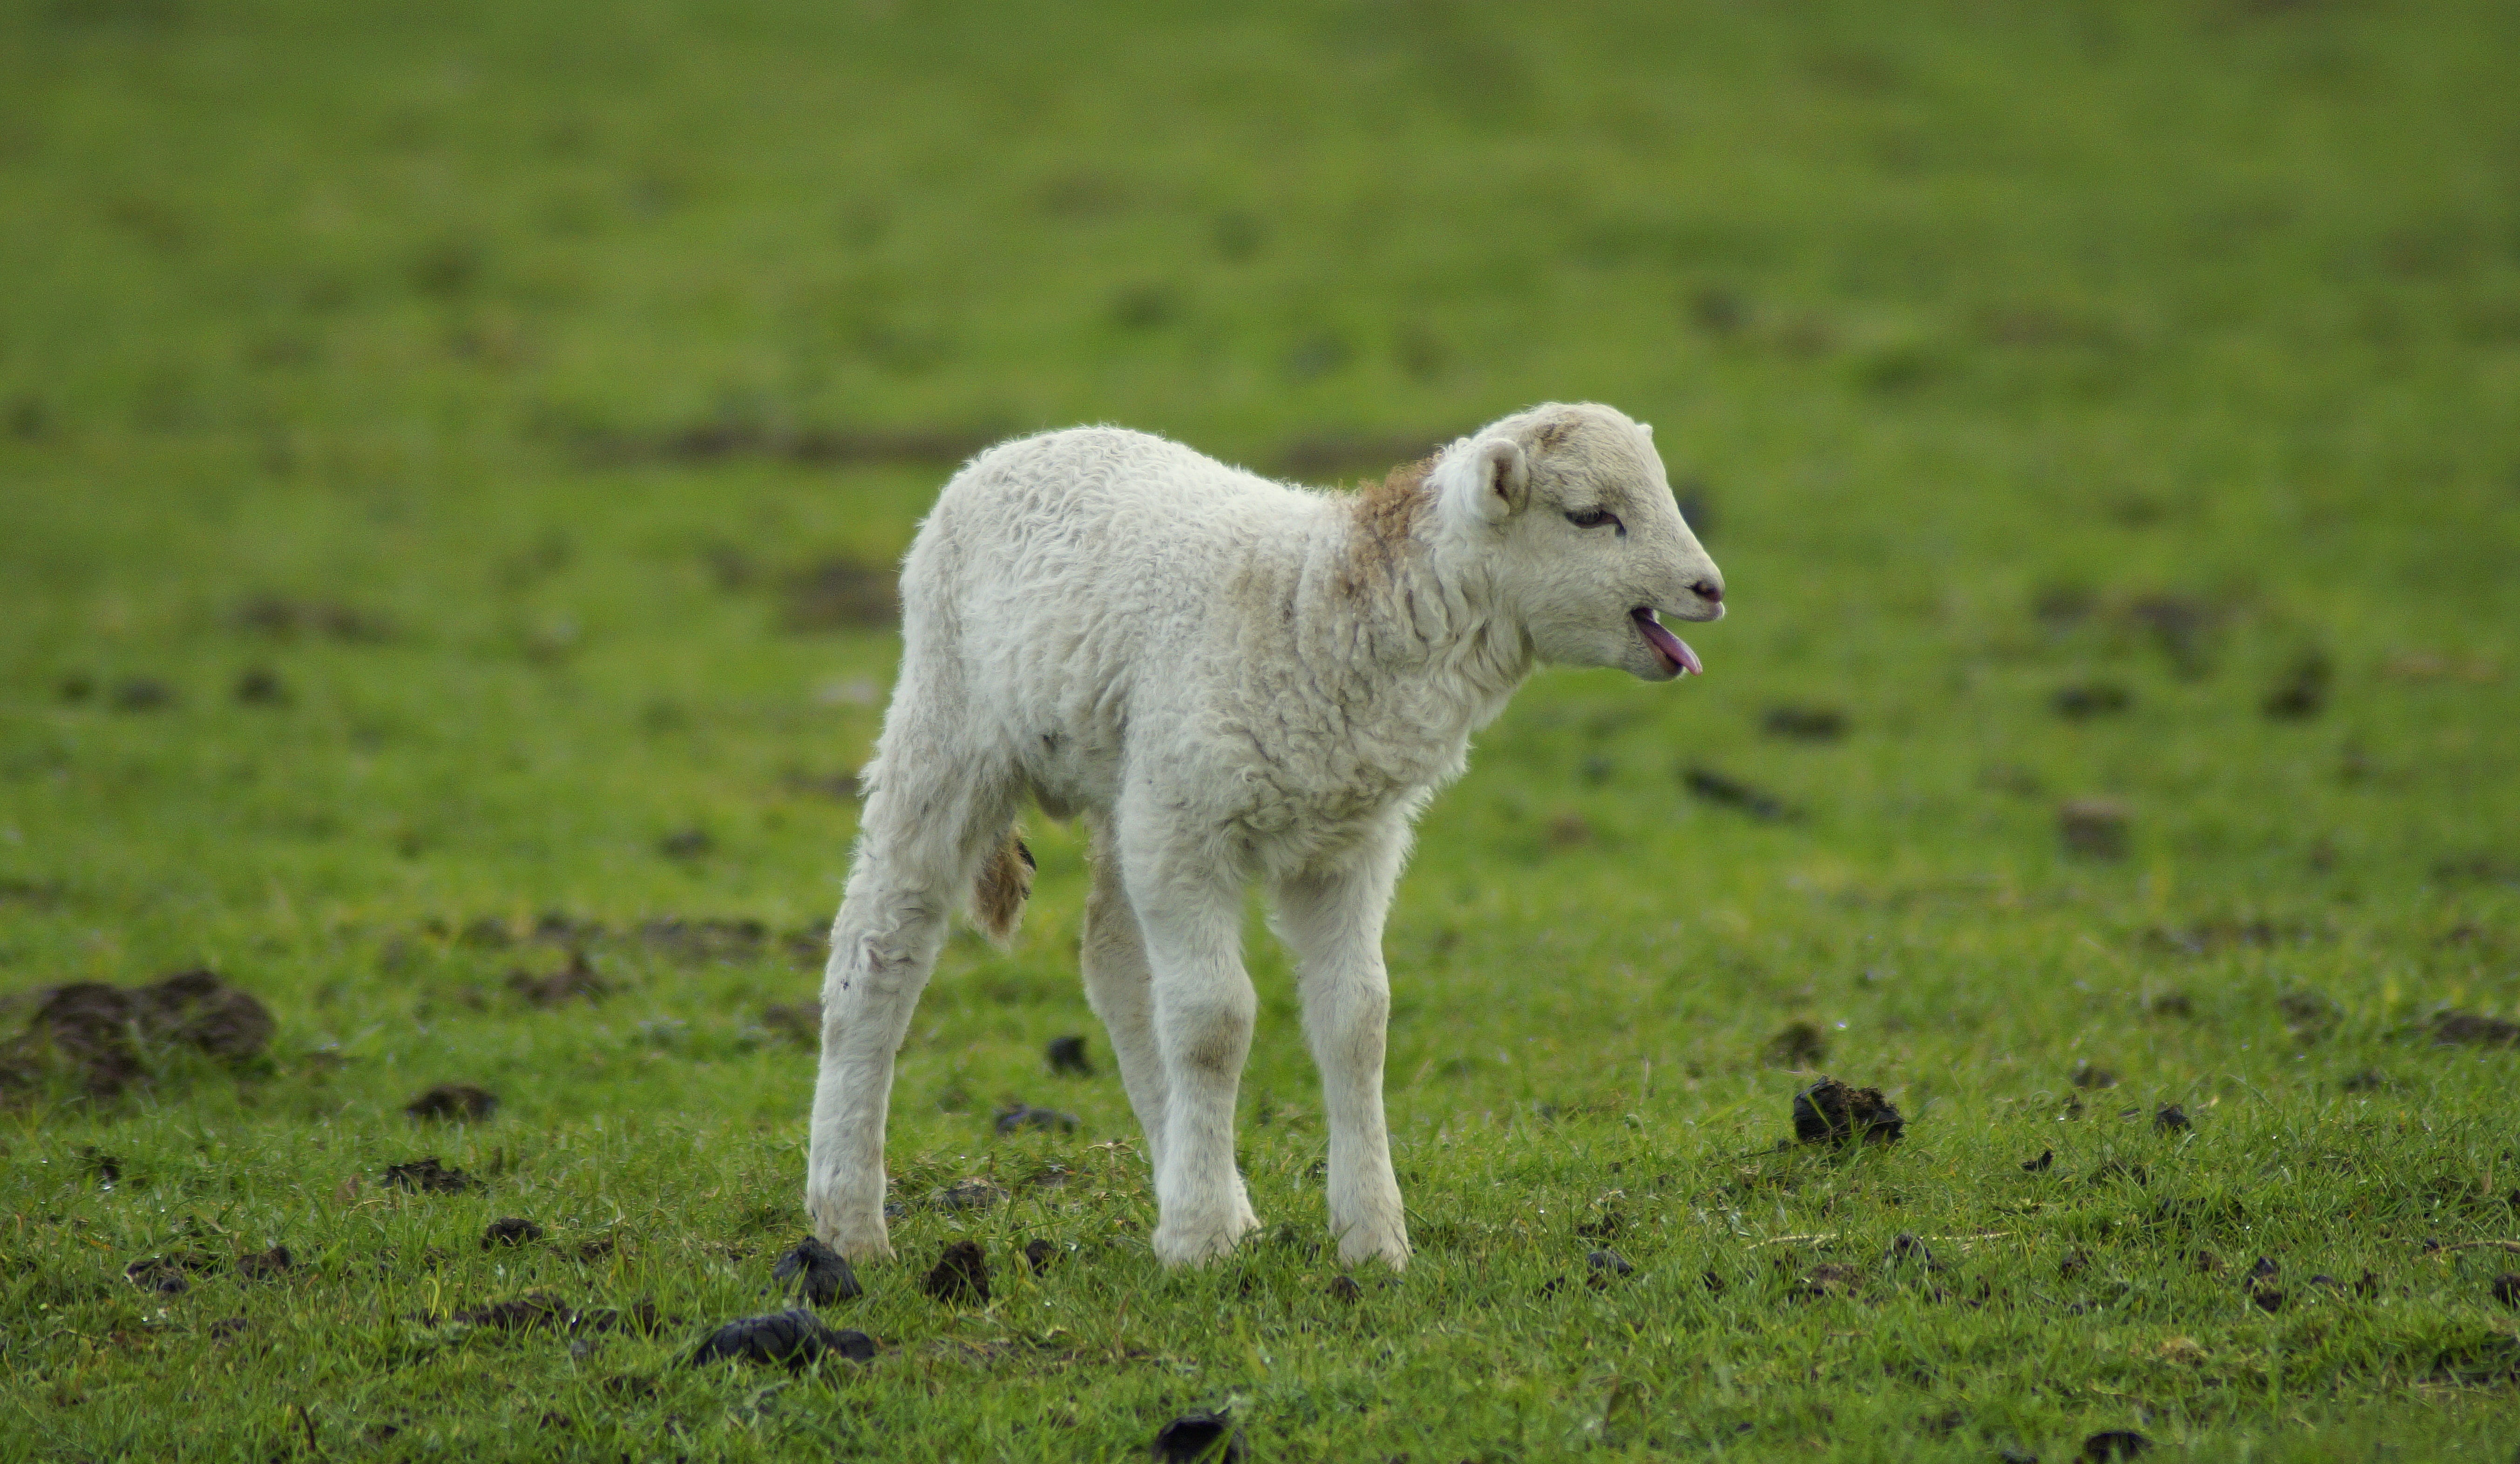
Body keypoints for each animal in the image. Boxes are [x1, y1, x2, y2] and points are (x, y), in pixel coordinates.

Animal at [805, 401, 1724, 1270]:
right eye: (1590, 515)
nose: (1710, 587)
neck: (1320, 606)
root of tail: (1018, 447)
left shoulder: (1347, 845)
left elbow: (1358, 1020)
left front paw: (1371, 1237)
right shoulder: (1187, 830)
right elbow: (1215, 1022)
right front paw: (1200, 1241)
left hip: (1128, 780)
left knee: (1115, 964)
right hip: (951, 723)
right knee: (880, 946)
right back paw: (849, 1223)